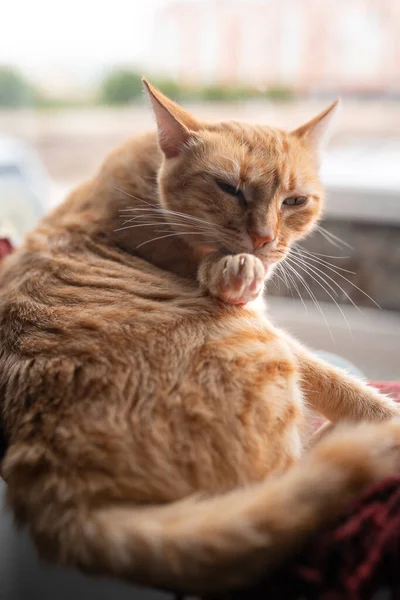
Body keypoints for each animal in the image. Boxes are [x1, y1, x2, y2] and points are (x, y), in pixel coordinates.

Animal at [0, 79, 400, 596]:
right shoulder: (267, 327)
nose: (263, 239)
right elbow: (342, 385)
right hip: (263, 362)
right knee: (293, 471)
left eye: (293, 201)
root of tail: (59, 489)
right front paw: (386, 414)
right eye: (229, 188)